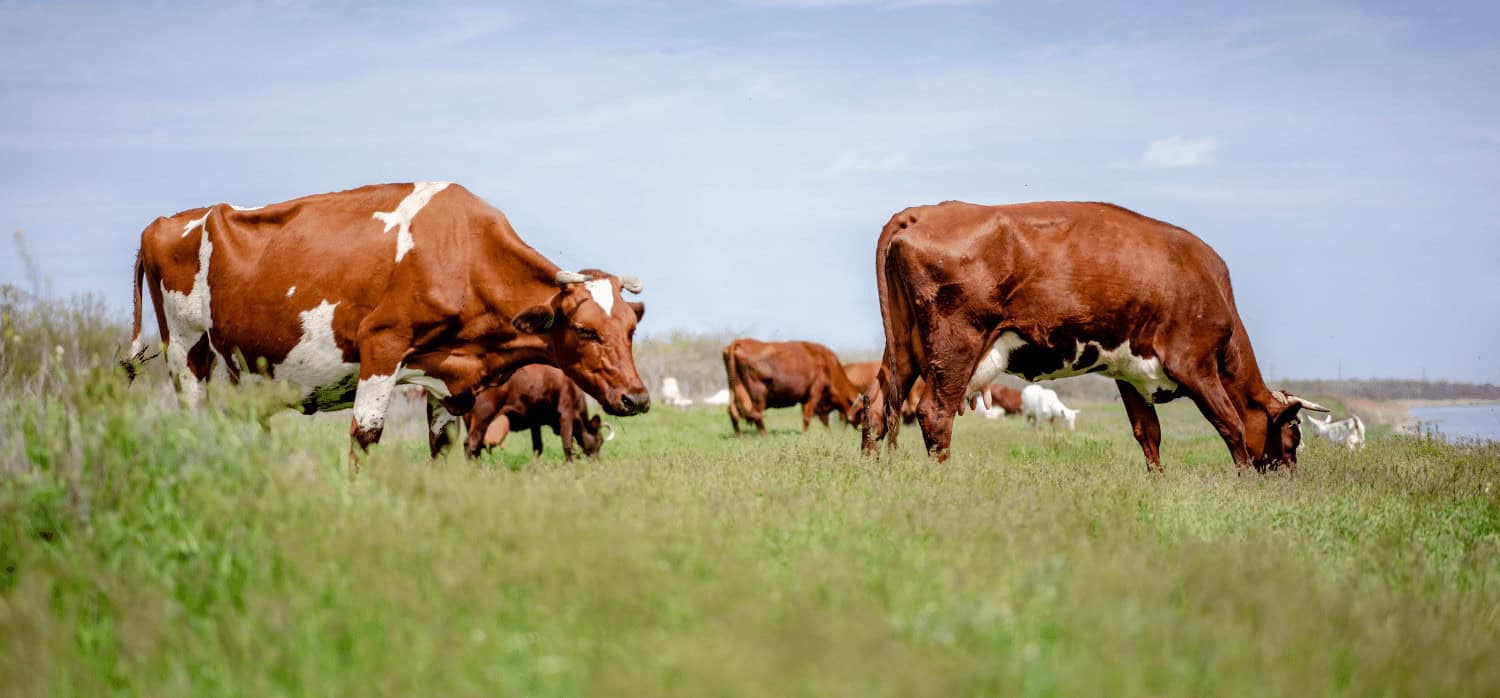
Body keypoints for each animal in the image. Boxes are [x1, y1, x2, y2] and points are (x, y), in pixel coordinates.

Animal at [465, 361, 612, 459]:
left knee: (473, 446)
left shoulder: (535, 421)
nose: (597, 461)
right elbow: (567, 444)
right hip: (482, 416)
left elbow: (538, 447)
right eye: (600, 440)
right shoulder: (566, 413)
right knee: (471, 444)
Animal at [723, 339, 864, 435]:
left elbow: (823, 419)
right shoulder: (815, 392)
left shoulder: (807, 398)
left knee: (733, 412)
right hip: (758, 393)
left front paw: (828, 433)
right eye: (863, 412)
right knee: (756, 414)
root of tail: (740, 341)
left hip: (734, 387)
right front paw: (805, 435)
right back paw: (764, 435)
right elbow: (807, 417)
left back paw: (740, 436)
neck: (829, 364)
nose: (863, 428)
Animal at [864, 201, 1332, 474]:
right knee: (934, 413)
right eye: (1293, 436)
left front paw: (1157, 484)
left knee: (877, 404)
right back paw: (941, 479)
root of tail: (922, 211)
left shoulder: (1130, 374)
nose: (1288, 478)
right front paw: (1243, 483)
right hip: (954, 346)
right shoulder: (1195, 364)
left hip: (904, 346)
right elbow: (1230, 424)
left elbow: (1149, 434)